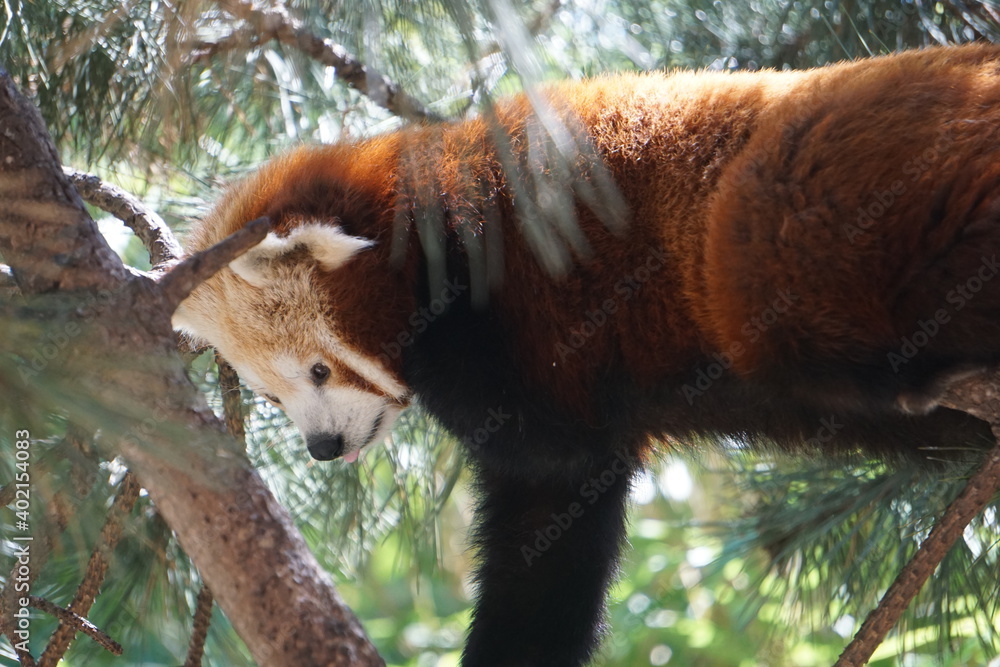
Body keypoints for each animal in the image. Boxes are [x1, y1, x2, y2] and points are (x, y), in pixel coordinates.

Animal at [173, 44, 1000, 666]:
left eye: (319, 369)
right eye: (271, 397)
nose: (320, 446)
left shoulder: (519, 298)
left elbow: (553, 458)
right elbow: (552, 522)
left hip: (806, 184)